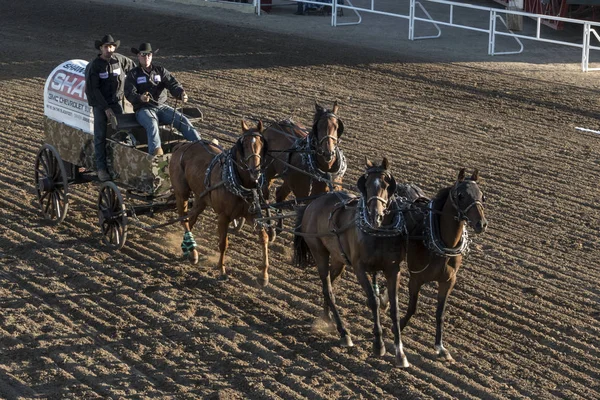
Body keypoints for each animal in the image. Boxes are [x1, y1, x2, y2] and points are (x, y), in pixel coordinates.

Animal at [169, 120, 272, 286]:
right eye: (244, 145)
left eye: (261, 143)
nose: (254, 171)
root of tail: (181, 145)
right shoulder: (223, 217)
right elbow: (223, 243)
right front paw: (222, 270)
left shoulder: (250, 215)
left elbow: (264, 237)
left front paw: (263, 276)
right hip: (181, 193)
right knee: (184, 219)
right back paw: (193, 253)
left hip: (201, 199)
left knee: (191, 219)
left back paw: (188, 250)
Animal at [262, 101, 346, 236]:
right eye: (318, 127)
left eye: (336, 126)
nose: (328, 153)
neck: (324, 172)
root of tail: (271, 126)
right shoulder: (305, 199)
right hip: (269, 171)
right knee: (265, 194)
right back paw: (270, 228)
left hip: (289, 179)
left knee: (280, 194)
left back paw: (279, 227)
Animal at [292, 158, 410, 368]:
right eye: (367, 184)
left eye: (387, 184)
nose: (375, 215)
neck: (378, 232)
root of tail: (312, 204)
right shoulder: (359, 268)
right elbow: (373, 301)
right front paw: (378, 344)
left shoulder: (393, 270)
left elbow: (395, 308)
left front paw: (400, 353)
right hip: (319, 253)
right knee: (328, 289)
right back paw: (343, 332)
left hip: (339, 260)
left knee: (328, 286)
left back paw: (327, 319)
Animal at [384, 169, 488, 362]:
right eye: (461, 196)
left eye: (482, 196)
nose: (481, 224)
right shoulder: (416, 278)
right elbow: (412, 308)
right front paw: (397, 331)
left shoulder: (448, 281)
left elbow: (440, 314)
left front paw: (441, 348)